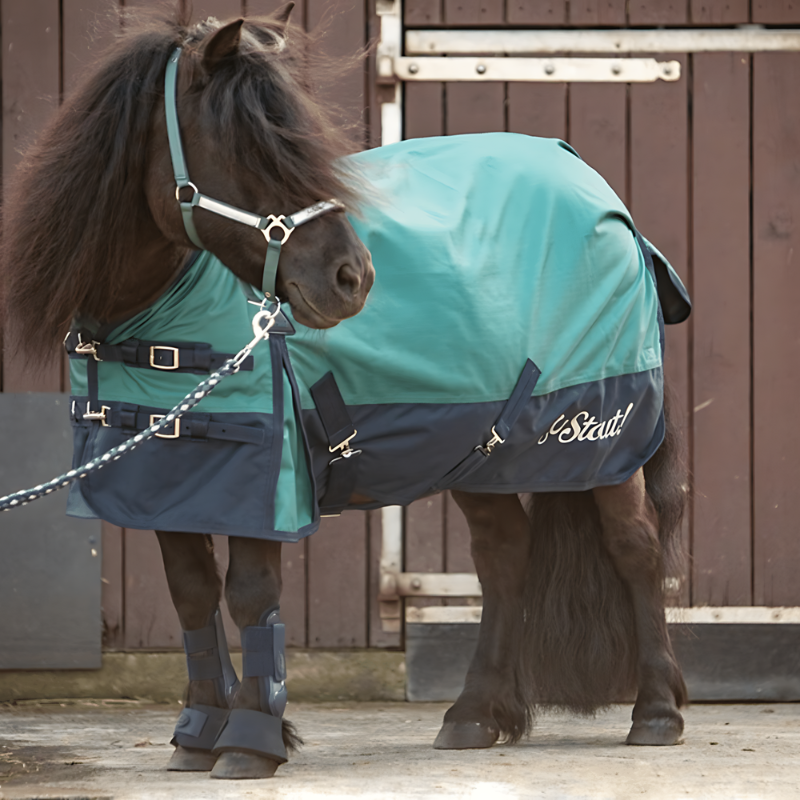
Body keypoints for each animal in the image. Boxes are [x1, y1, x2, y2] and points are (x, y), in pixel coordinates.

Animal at [1, 4, 690, 782]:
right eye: (246, 146)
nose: (352, 278)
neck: (150, 318)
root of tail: (596, 186)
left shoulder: (266, 482)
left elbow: (251, 598)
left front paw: (249, 741)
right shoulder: (166, 481)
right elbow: (192, 598)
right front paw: (197, 733)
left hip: (605, 440)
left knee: (634, 546)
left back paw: (655, 712)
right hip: (478, 446)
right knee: (504, 556)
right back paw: (473, 715)